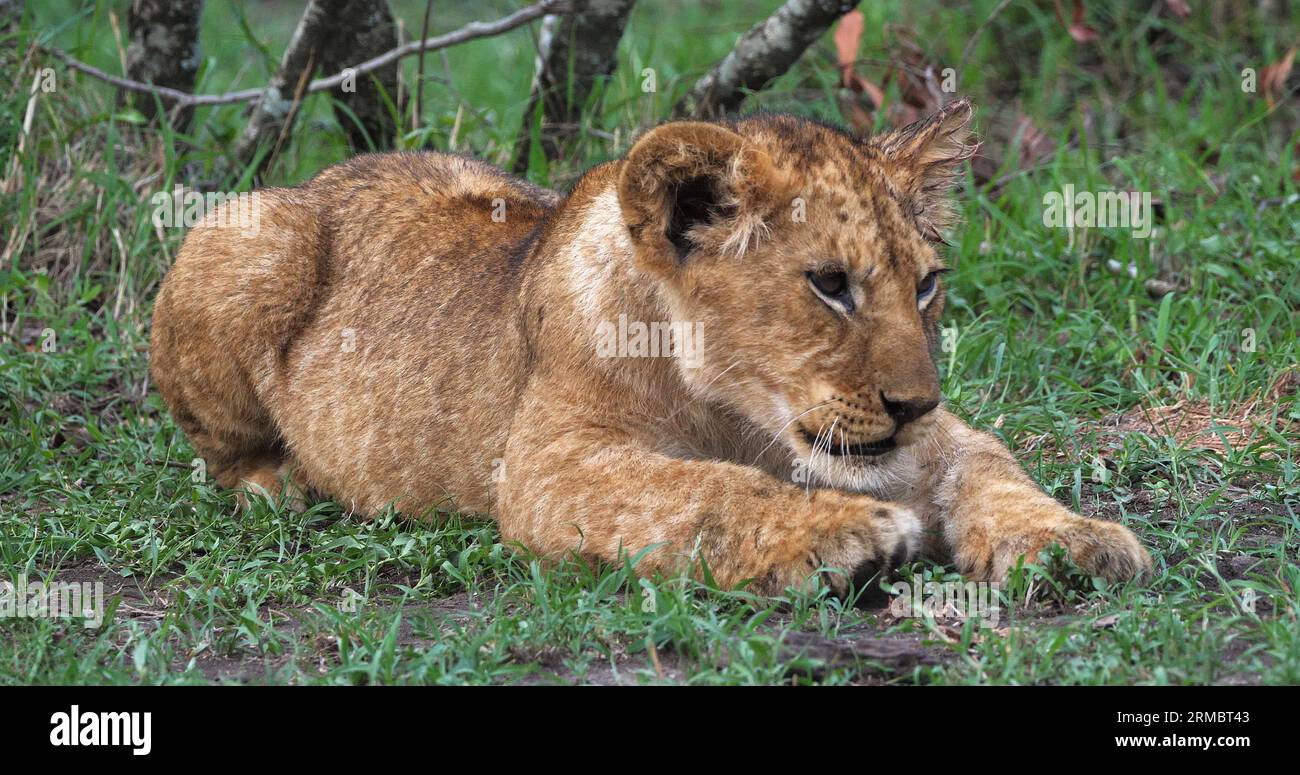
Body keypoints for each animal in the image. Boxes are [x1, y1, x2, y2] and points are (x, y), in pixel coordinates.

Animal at [150, 99, 1151, 597]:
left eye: (927, 284)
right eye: (830, 283)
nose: (913, 403)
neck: (740, 409)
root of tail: (321, 178)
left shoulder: (931, 440)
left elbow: (994, 469)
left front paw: (1078, 539)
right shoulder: (546, 464)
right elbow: (702, 490)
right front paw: (843, 535)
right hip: (242, 234)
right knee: (221, 455)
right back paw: (281, 483)